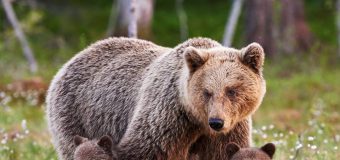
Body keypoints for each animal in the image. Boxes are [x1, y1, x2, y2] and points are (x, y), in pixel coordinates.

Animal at [46, 37, 266, 159]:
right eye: (207, 92)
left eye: (232, 90)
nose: (217, 122)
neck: (195, 119)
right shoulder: (166, 116)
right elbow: (143, 149)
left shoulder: (229, 129)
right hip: (76, 113)